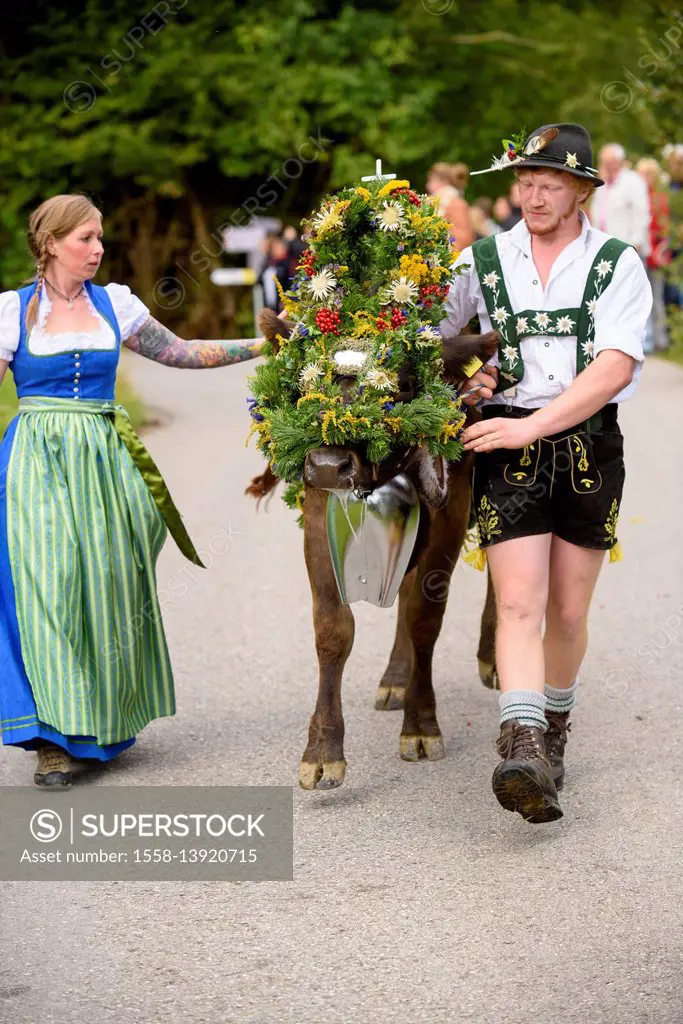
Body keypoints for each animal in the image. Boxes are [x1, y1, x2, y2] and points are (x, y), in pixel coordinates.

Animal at [245, 172, 497, 786]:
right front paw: (322, 751)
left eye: (399, 386)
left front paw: (422, 725)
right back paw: (396, 679)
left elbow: (426, 616)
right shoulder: (318, 514)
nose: (327, 464)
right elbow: (333, 629)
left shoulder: (450, 512)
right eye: (302, 380)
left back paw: (488, 658)